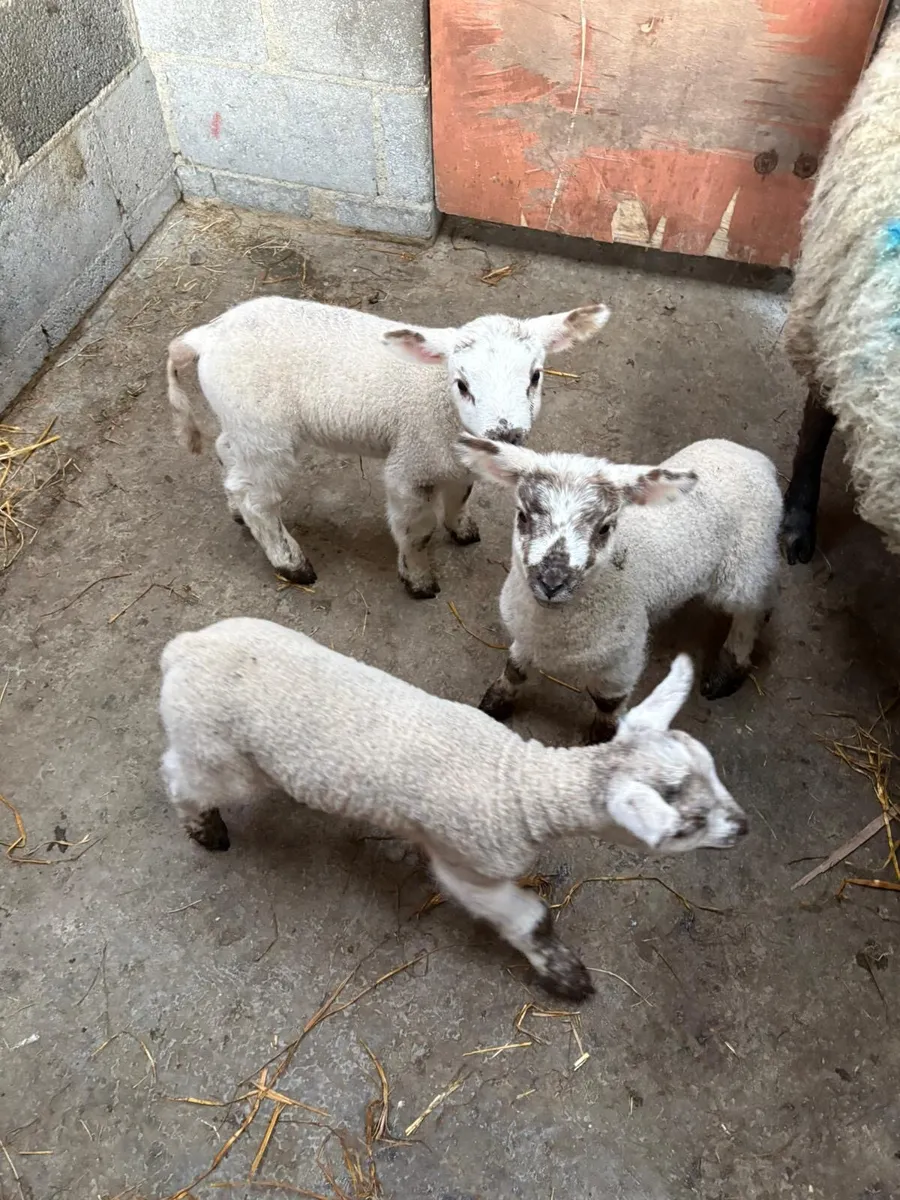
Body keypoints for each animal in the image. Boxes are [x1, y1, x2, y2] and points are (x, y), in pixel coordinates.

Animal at [159, 617, 747, 1002]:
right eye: (688, 826)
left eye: (714, 769)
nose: (742, 827)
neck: (523, 786)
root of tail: (183, 649)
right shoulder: (465, 865)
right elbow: (528, 918)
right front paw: (565, 976)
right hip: (218, 751)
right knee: (179, 775)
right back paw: (204, 830)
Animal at [167, 295, 610, 598]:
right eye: (462, 383)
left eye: (535, 376)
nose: (506, 435)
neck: (440, 402)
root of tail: (205, 336)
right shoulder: (411, 465)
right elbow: (417, 532)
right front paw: (418, 580)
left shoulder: (456, 459)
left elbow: (461, 496)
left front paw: (462, 529)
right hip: (265, 433)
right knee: (259, 500)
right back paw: (291, 562)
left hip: (244, 424)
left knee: (229, 458)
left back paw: (235, 508)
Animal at [459, 436, 782, 741]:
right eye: (522, 515)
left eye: (605, 528)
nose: (551, 582)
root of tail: (756, 457)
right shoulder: (526, 632)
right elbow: (514, 669)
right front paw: (494, 703)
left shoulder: (624, 652)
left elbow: (608, 702)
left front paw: (602, 738)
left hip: (745, 558)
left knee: (755, 604)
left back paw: (728, 669)